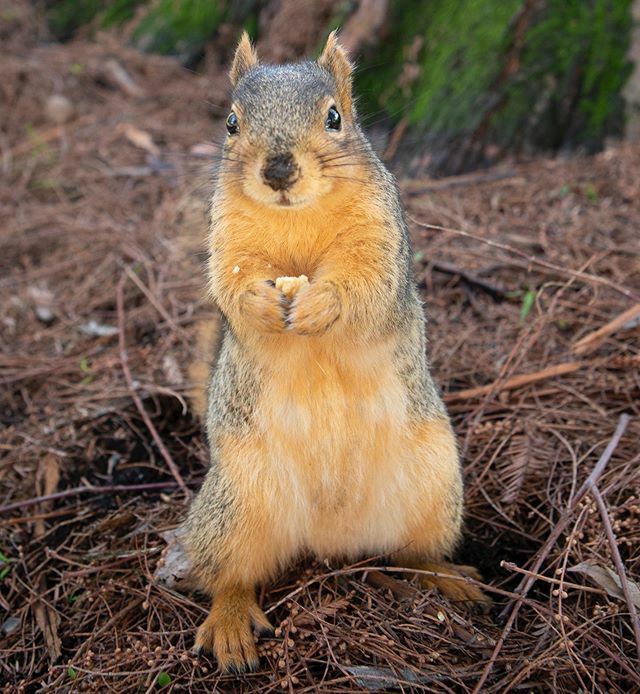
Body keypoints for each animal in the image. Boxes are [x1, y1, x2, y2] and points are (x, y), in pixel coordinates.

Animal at [184, 31, 487, 673]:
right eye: (230, 122)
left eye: (334, 118)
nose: (278, 170)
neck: (297, 217)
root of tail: (331, 536)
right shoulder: (226, 235)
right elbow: (229, 280)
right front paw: (259, 304)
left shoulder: (380, 236)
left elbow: (368, 285)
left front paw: (322, 302)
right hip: (235, 505)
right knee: (228, 575)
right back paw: (229, 624)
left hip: (434, 486)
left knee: (414, 554)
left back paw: (448, 577)